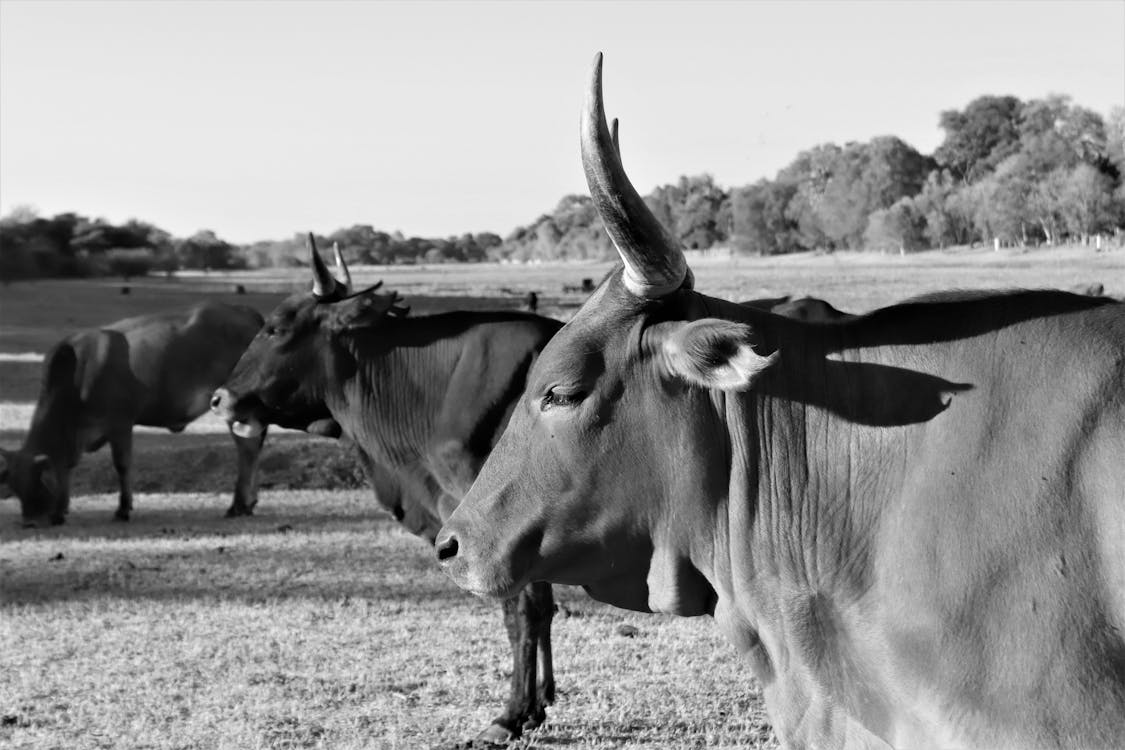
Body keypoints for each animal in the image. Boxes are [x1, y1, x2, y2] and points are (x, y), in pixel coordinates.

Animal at [1, 301, 266, 526]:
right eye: (15, 487)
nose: (30, 522)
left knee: (248, 449)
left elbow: (122, 465)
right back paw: (249, 502)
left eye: (38, 484)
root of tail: (248, 313)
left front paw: (122, 509)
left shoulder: (120, 423)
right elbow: (68, 466)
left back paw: (237, 505)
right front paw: (61, 509)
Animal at [210, 236, 562, 746]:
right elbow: (541, 606)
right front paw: (536, 707)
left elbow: (524, 610)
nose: (220, 398)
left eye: (275, 329)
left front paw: (511, 715)